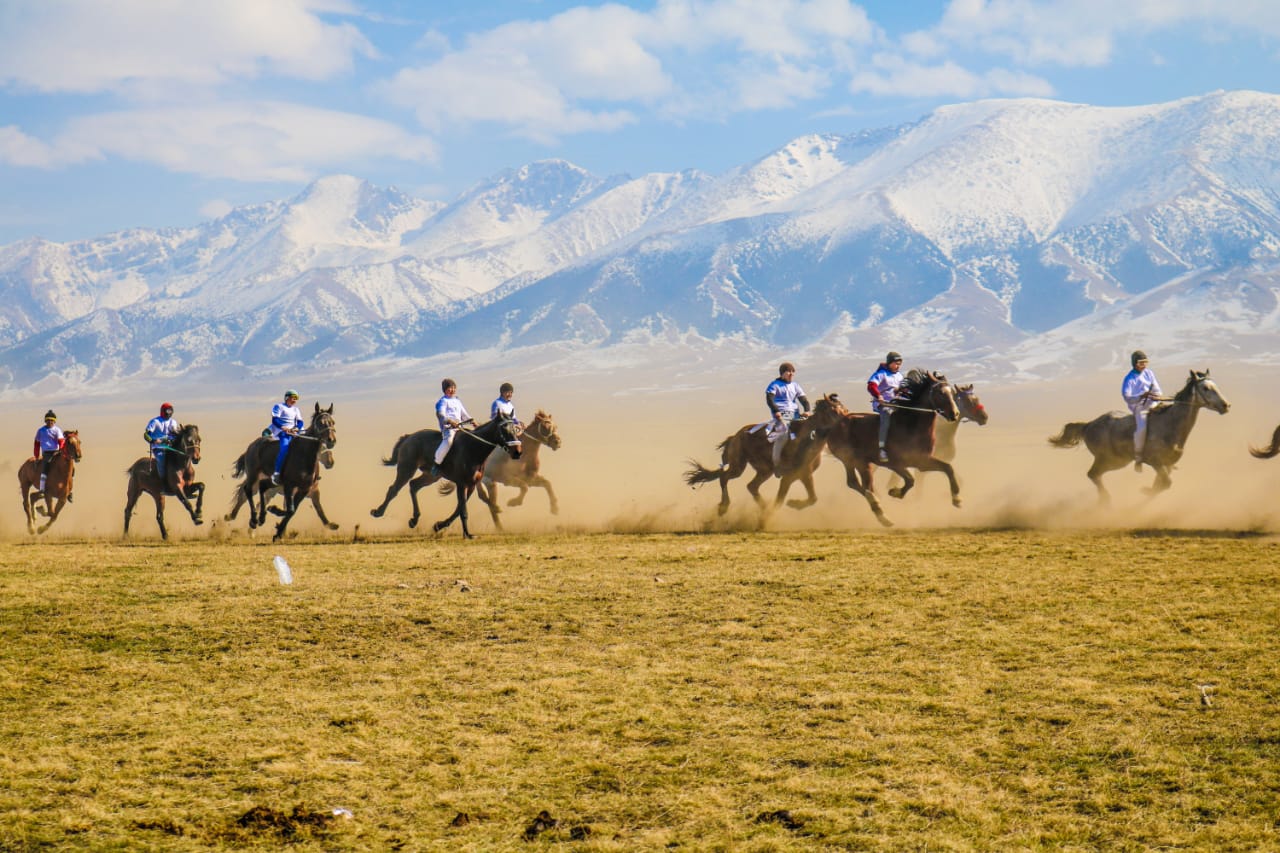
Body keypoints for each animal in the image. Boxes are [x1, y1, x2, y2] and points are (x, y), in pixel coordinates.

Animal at [371, 412, 519, 537]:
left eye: (515, 428)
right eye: (504, 429)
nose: (517, 452)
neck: (473, 448)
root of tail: (409, 437)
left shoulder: (471, 485)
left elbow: (459, 508)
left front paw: (439, 525)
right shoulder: (461, 484)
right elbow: (463, 510)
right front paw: (467, 534)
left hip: (431, 476)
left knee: (414, 485)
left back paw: (414, 519)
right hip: (406, 469)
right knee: (394, 489)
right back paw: (378, 512)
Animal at [680, 389, 849, 514]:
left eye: (844, 408)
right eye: (834, 409)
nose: (847, 419)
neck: (808, 439)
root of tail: (735, 436)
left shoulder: (801, 474)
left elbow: (812, 498)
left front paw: (790, 504)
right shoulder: (792, 475)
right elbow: (783, 499)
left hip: (765, 470)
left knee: (751, 486)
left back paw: (762, 506)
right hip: (739, 466)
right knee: (724, 477)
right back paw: (723, 507)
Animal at [819, 371, 962, 525]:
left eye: (952, 392)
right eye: (940, 393)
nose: (955, 413)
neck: (911, 426)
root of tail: (835, 425)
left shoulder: (922, 461)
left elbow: (948, 468)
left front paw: (957, 499)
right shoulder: (896, 464)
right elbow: (911, 480)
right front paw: (895, 492)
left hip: (857, 462)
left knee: (857, 484)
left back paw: (878, 505)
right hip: (855, 461)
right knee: (862, 485)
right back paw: (881, 513)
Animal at [1049, 366, 1228, 499]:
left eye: (1216, 386)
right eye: (1205, 388)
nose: (1226, 405)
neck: (1170, 425)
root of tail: (1089, 425)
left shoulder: (1167, 464)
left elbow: (1162, 485)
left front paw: (1148, 492)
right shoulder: (1156, 462)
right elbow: (1165, 484)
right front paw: (1145, 491)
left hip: (1118, 461)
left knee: (1095, 475)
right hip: (1111, 460)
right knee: (1092, 474)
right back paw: (1105, 501)